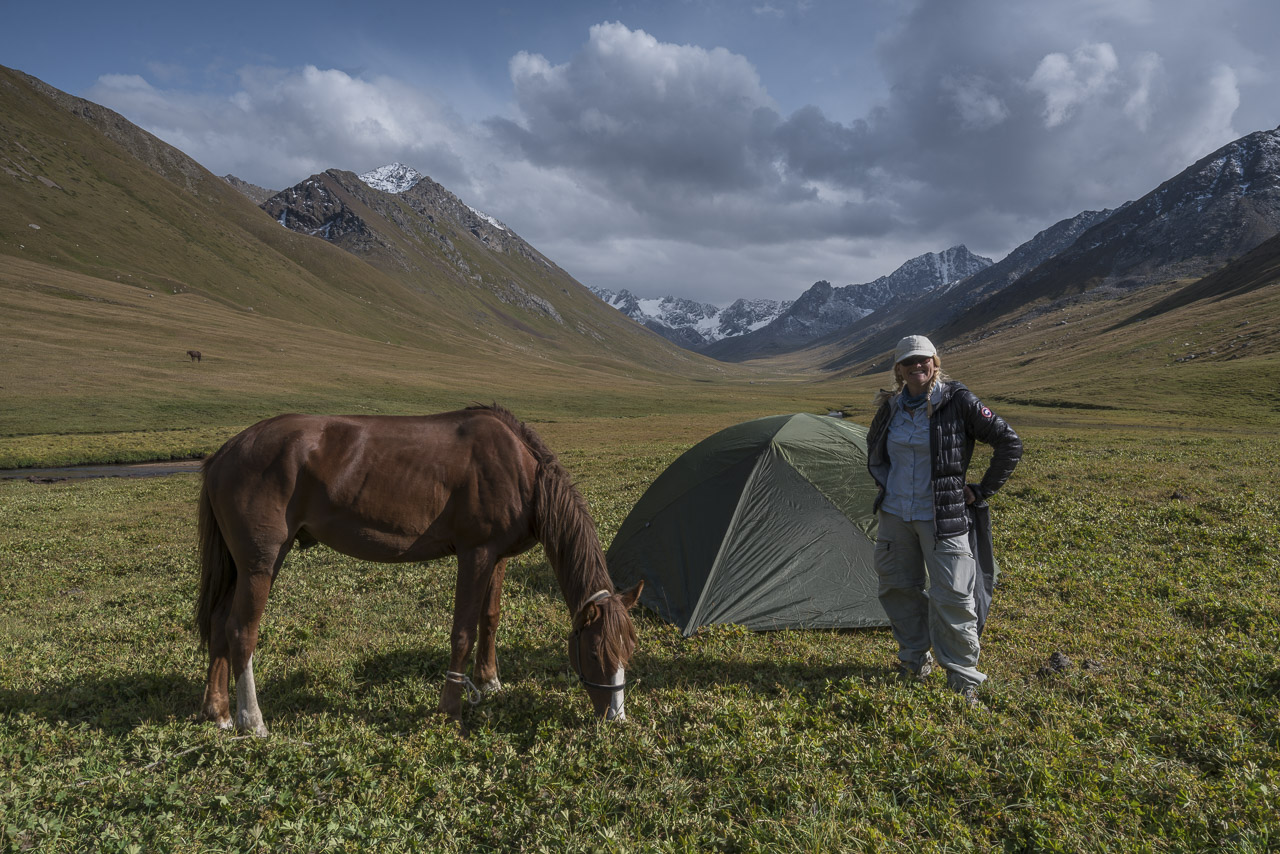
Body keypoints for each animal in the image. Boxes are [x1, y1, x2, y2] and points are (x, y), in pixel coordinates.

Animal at [194, 407, 645, 737]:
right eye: (594, 653)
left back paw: (218, 712)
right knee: (241, 631)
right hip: (260, 563)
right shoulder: (475, 554)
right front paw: (451, 710)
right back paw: (252, 721)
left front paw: (489, 682)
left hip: (238, 567)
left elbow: (490, 619)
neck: (520, 469)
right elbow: (462, 633)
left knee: (218, 623)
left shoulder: (497, 556)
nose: (616, 719)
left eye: (628, 651)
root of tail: (224, 452)